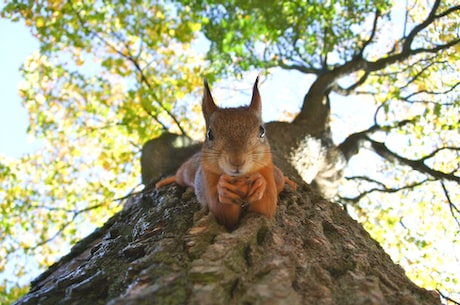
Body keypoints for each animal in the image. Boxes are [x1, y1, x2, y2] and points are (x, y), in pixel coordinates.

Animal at [156, 76, 296, 228]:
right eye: (209, 134)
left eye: (262, 131)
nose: (237, 161)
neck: (240, 180)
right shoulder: (208, 180)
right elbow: (223, 213)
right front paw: (223, 187)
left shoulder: (267, 173)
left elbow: (266, 206)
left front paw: (260, 183)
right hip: (187, 173)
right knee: (179, 176)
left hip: (277, 175)